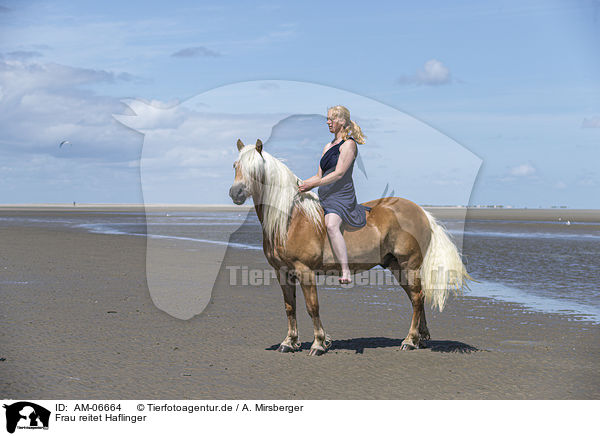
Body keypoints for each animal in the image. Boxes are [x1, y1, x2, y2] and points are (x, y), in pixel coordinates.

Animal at [230, 139, 468, 354]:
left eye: (256, 169)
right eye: (235, 166)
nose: (236, 193)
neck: (291, 218)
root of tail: (421, 212)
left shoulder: (305, 271)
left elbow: (312, 307)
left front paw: (319, 343)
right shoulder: (282, 272)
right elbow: (290, 307)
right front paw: (289, 342)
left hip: (409, 264)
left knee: (417, 298)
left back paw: (410, 340)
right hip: (396, 267)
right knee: (416, 297)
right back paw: (421, 338)